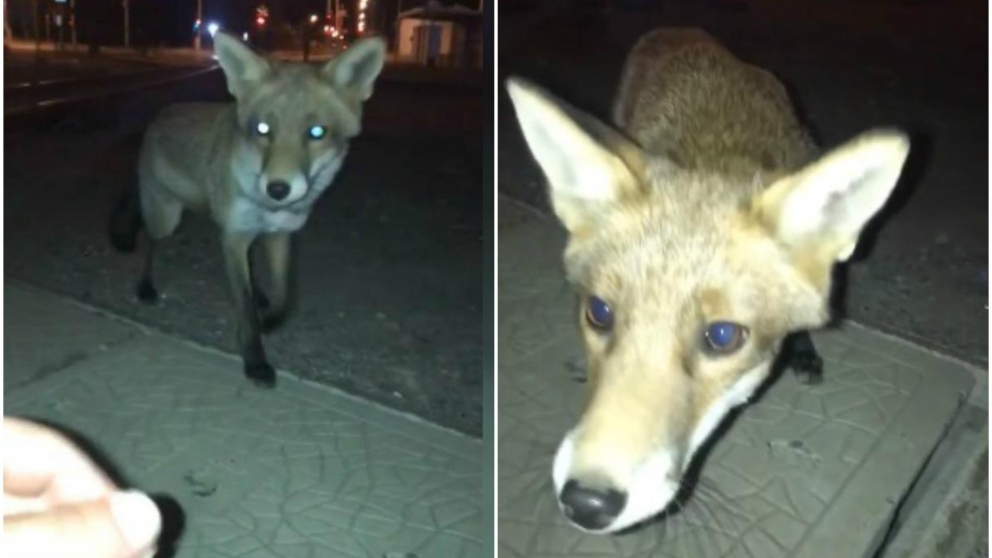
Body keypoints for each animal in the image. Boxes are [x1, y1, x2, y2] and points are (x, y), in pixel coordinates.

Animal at [109, 32, 386, 387]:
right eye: (262, 129)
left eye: (316, 133)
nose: (278, 189)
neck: (265, 207)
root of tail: (159, 116)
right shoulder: (234, 236)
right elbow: (244, 307)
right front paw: (255, 360)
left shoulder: (279, 235)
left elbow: (284, 295)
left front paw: (269, 318)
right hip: (166, 218)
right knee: (149, 241)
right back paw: (145, 285)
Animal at [505, 28, 910, 534]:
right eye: (599, 312)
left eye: (721, 336)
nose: (586, 503)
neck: (714, 154)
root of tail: (680, 32)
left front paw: (802, 348)